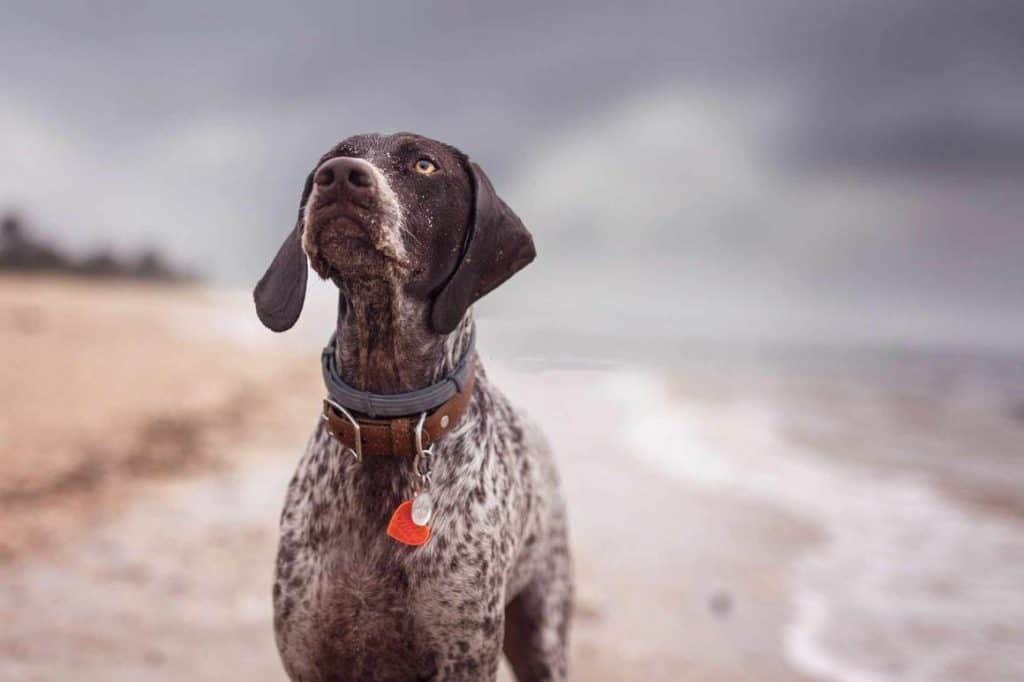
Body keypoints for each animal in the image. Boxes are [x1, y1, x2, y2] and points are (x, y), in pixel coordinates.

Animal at [254, 133, 573, 679]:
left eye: (425, 165)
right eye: (331, 158)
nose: (340, 176)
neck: (385, 419)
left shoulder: (463, 656)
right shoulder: (310, 655)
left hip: (543, 637)